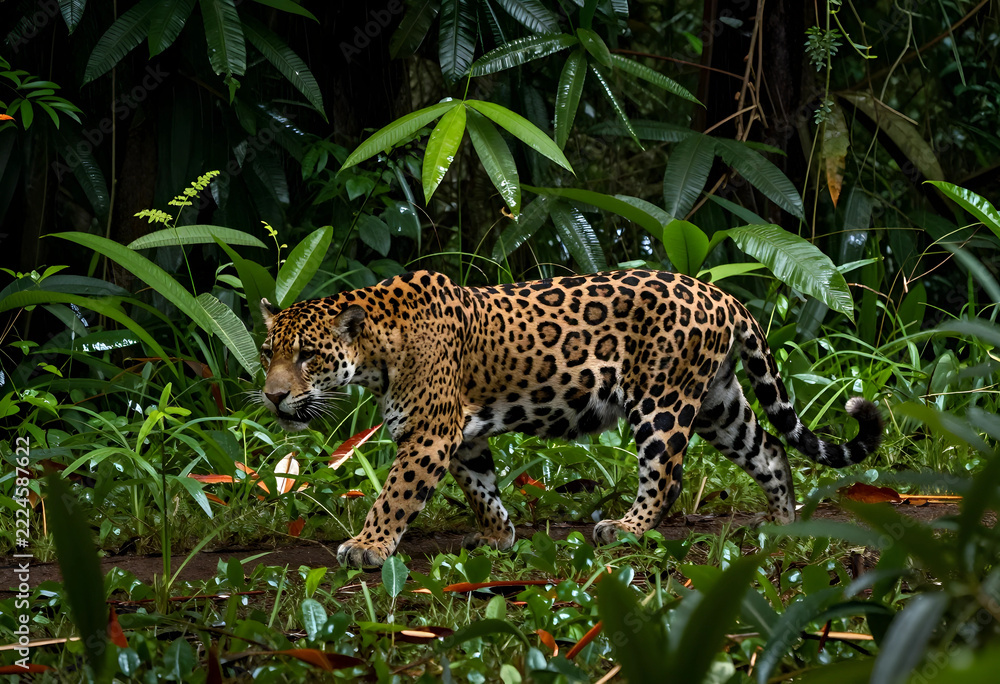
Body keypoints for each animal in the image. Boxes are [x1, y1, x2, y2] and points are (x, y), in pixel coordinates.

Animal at [259, 269, 883, 568]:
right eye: (268, 353)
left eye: (308, 356)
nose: (272, 397)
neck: (377, 351)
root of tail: (720, 294)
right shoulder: (460, 437)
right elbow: (482, 487)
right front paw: (499, 538)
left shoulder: (428, 436)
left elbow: (394, 496)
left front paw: (368, 546)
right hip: (718, 403)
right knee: (770, 449)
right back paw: (786, 527)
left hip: (661, 400)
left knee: (667, 475)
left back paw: (626, 529)